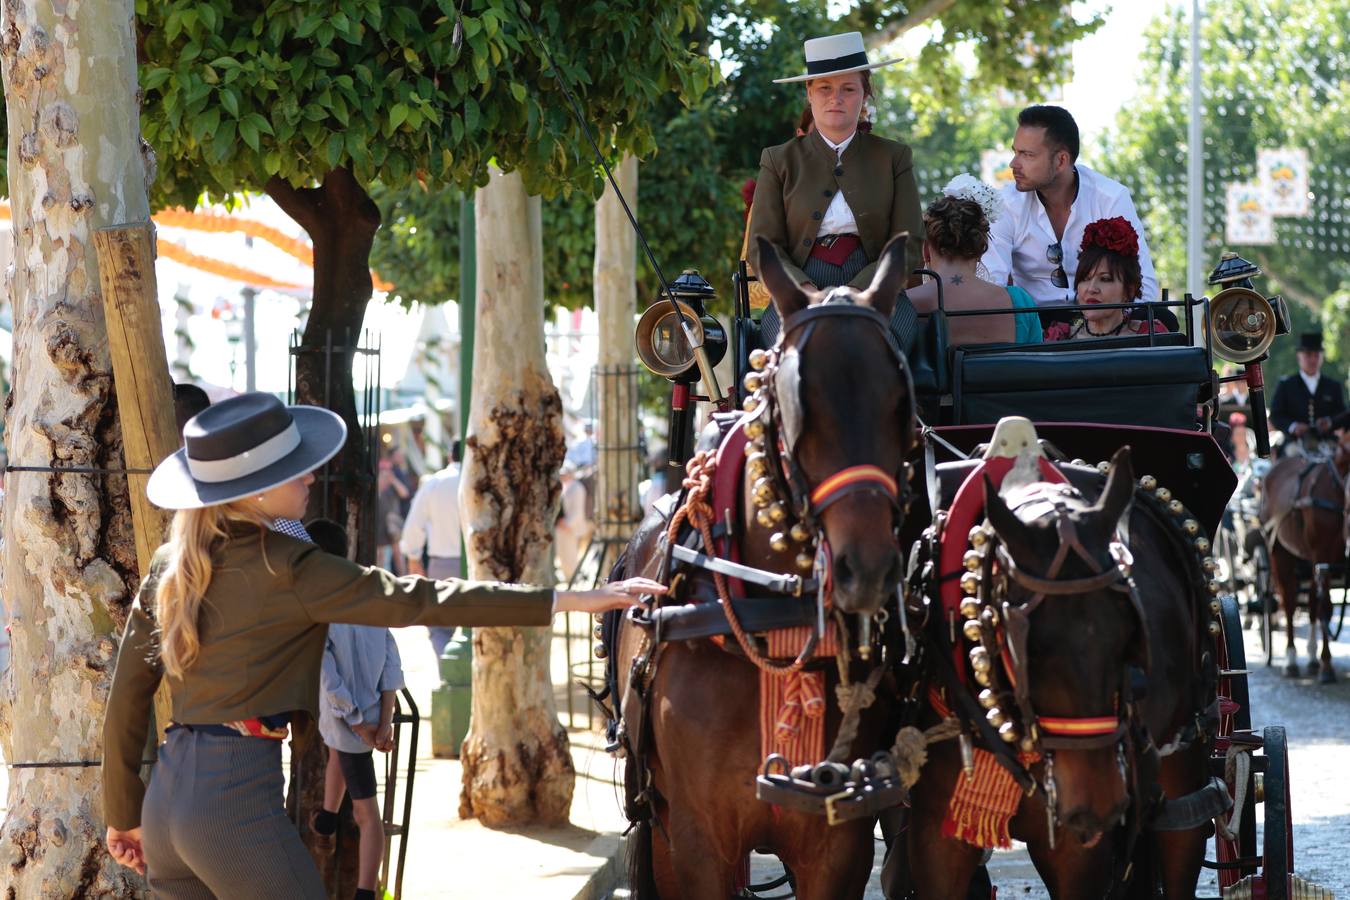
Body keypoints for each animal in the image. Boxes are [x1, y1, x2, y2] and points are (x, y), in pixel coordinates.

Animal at [615, 236, 918, 895]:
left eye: (900, 404)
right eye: (794, 402)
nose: (867, 569)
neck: (772, 617)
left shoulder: (838, 845)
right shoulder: (697, 843)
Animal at [907, 447, 1215, 900]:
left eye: (1128, 633)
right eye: (1028, 645)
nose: (1097, 801)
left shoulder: (1079, 849)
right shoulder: (936, 833)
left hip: (1185, 752)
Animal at [1258, 429, 1344, 682]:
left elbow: (1321, 605)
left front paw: (1322, 661)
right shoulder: (1322, 555)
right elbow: (1325, 605)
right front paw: (1327, 666)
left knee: (1311, 601)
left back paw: (1313, 657)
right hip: (1279, 552)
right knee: (1289, 601)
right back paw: (1291, 660)